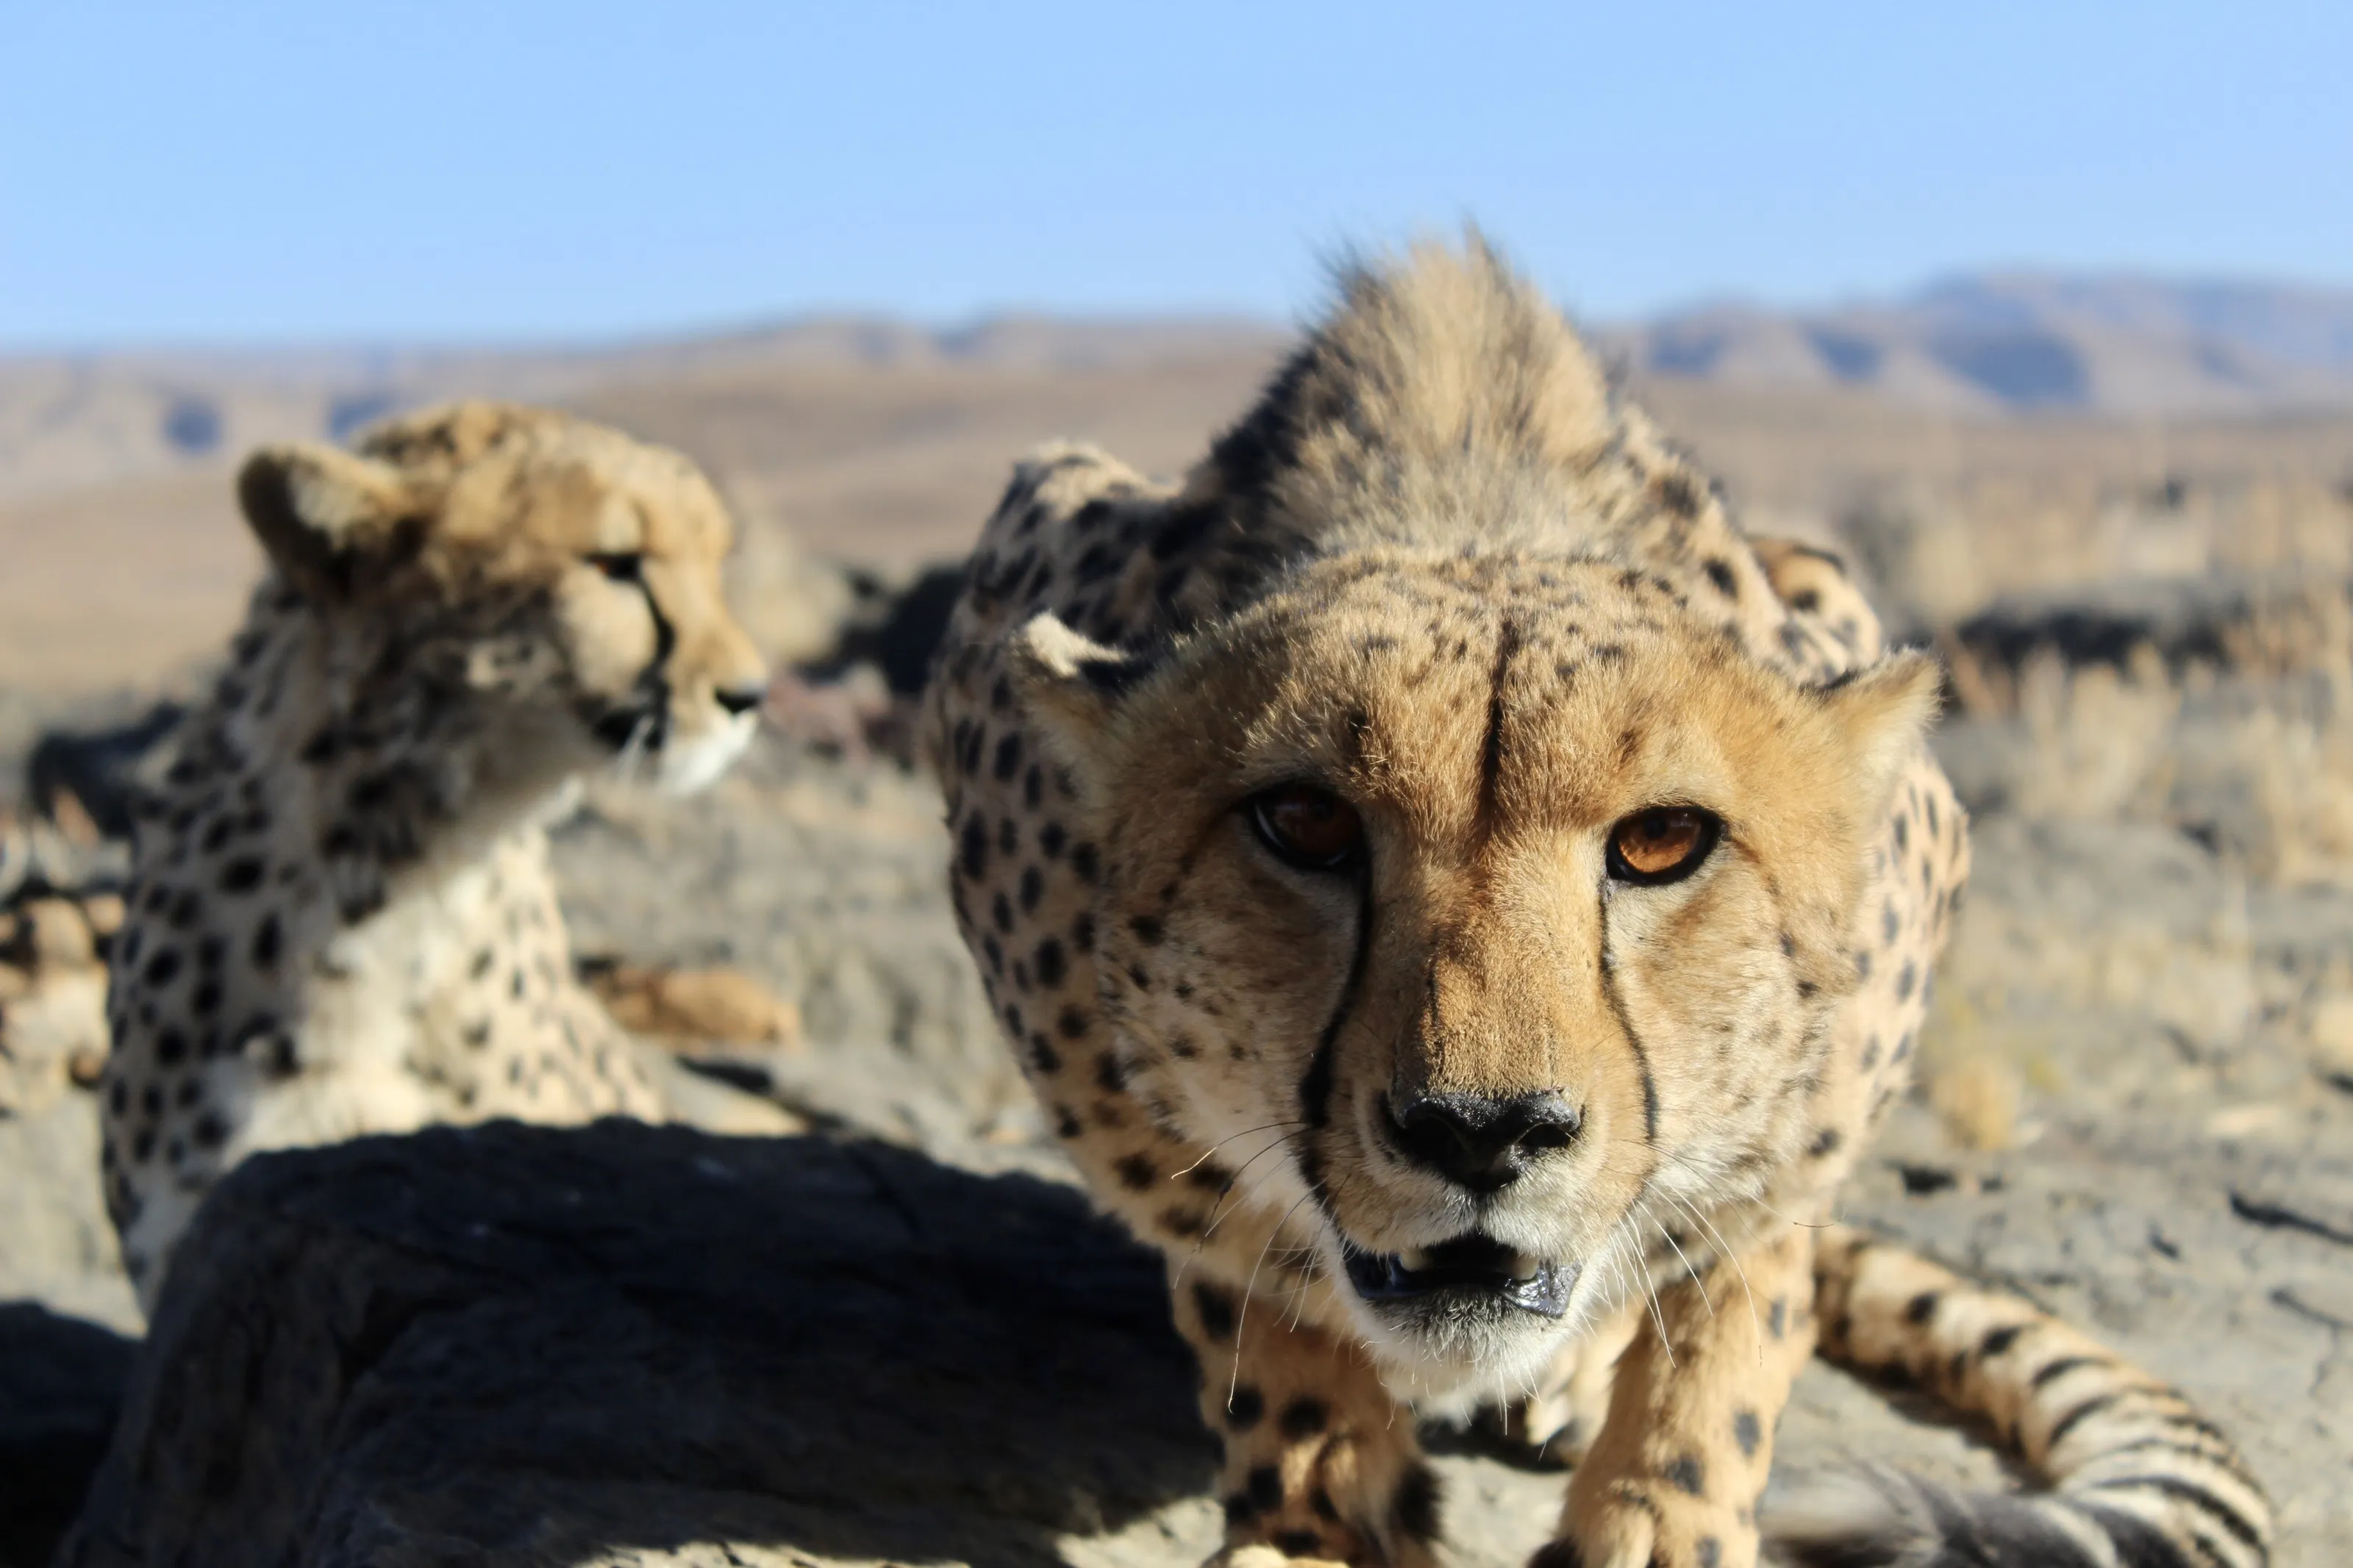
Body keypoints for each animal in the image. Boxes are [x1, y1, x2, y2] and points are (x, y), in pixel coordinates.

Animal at [924, 240, 2270, 1568]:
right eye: (1304, 823)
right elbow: (1256, 1285)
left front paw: (1665, 1516)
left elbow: (1735, 1310)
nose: (1481, 1131)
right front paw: (1312, 1521)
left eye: (1664, 840)